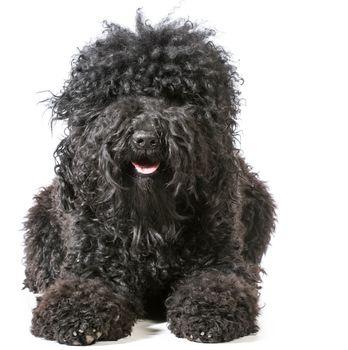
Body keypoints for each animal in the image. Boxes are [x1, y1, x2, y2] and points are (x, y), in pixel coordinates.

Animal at [23, 13, 276, 344]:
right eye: (117, 95)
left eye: (176, 96)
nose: (145, 139)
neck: (149, 223)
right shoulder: (91, 266)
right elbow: (80, 290)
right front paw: (75, 316)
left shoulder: (220, 262)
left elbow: (214, 285)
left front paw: (207, 313)